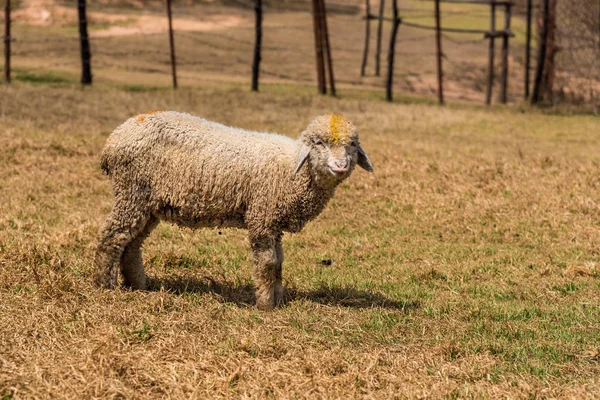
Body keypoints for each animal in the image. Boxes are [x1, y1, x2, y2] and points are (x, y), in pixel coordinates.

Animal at [94, 112, 372, 310]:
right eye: (319, 143)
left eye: (352, 144)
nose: (340, 165)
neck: (292, 167)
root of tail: (114, 139)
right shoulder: (261, 217)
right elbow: (267, 263)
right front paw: (265, 305)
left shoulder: (273, 222)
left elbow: (279, 262)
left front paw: (278, 298)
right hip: (132, 191)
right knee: (112, 236)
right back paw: (104, 286)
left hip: (148, 204)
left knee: (131, 243)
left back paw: (138, 285)